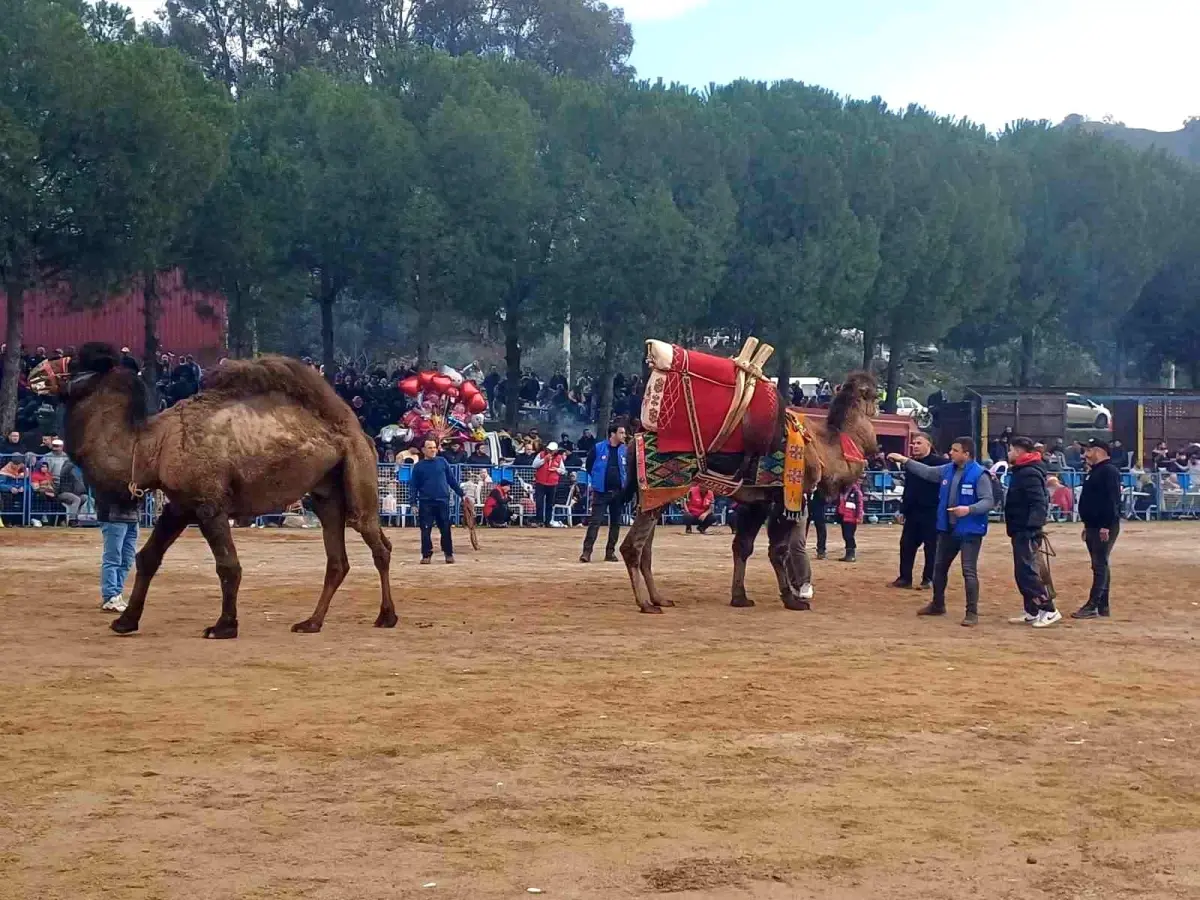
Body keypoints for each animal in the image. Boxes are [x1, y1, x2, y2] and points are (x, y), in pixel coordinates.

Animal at [30, 340, 396, 643]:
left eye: (77, 360)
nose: (34, 374)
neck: (149, 447)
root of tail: (358, 431)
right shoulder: (179, 505)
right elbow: (148, 557)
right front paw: (126, 622)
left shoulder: (209, 504)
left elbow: (228, 565)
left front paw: (223, 626)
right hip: (325, 493)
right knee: (338, 560)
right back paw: (311, 622)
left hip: (358, 474)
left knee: (378, 543)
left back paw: (386, 617)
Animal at [619, 338, 873, 614]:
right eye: (873, 392)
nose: (877, 409)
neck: (826, 448)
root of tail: (634, 442)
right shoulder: (784, 497)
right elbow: (778, 550)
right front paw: (792, 600)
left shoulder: (758, 500)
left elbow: (743, 546)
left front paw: (740, 597)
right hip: (658, 487)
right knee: (632, 547)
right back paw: (646, 604)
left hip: (655, 494)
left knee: (646, 549)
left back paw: (659, 598)